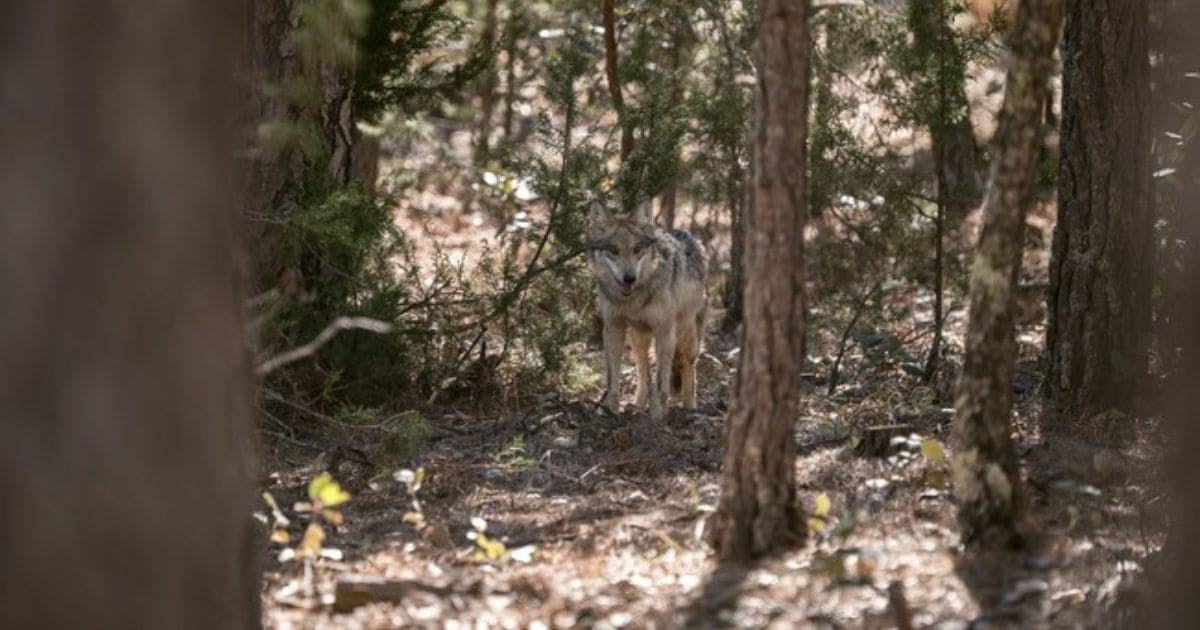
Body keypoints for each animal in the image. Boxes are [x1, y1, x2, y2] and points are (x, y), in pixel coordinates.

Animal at [586, 200, 707, 420]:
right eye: (613, 250)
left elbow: (661, 385)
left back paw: (690, 408)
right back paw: (638, 405)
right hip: (637, 338)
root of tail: (692, 237)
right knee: (643, 370)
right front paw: (611, 412)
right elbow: (612, 379)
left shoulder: (665, 332)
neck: (633, 300)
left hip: (687, 335)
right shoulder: (613, 328)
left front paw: (657, 418)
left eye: (637, 249)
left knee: (689, 367)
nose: (629, 278)